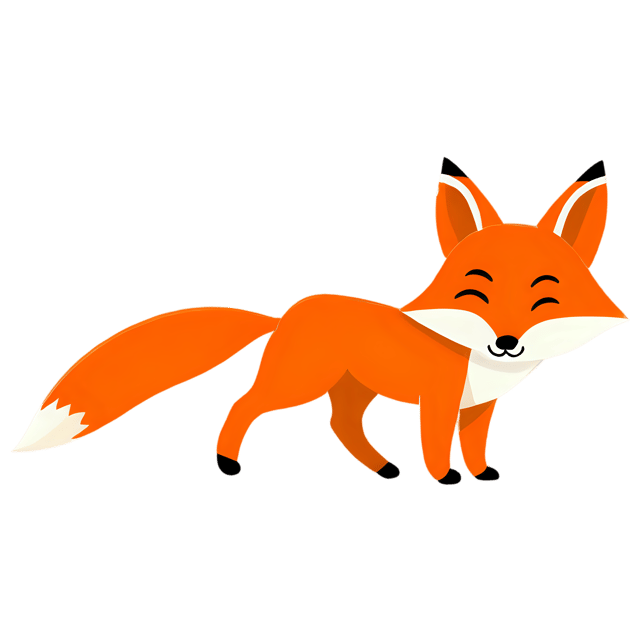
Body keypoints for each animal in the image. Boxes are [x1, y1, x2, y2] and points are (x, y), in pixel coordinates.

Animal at [13, 157, 628, 484]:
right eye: (476, 292)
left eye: (545, 300)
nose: (506, 342)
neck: (477, 360)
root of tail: (287, 310)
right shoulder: (438, 399)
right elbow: (436, 445)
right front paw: (445, 477)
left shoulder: (478, 407)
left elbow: (474, 445)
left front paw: (479, 474)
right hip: (298, 383)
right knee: (244, 404)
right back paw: (226, 460)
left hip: (349, 389)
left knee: (342, 426)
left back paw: (381, 468)